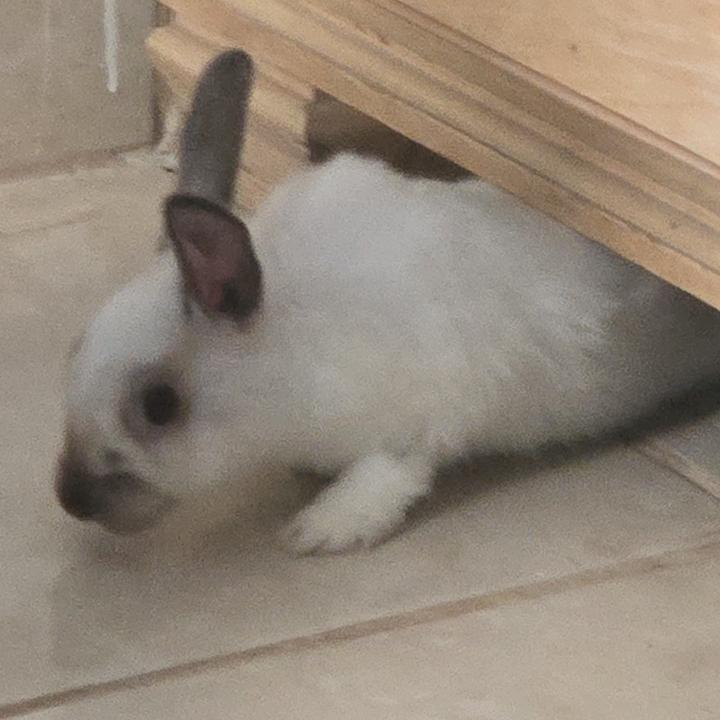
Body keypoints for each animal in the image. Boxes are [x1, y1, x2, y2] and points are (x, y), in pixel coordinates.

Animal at [55, 49, 720, 554]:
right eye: (74, 347)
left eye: (160, 405)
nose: (69, 498)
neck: (289, 351)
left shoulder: (419, 421)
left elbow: (387, 477)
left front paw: (318, 531)